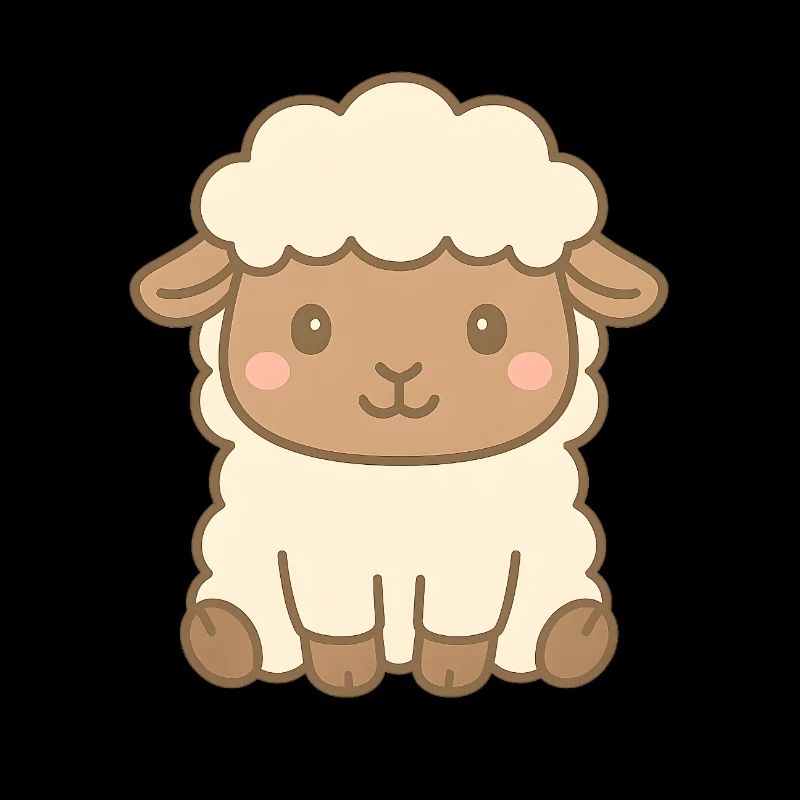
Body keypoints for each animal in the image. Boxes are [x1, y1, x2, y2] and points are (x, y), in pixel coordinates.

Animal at [131, 74, 667, 697]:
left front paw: (452, 673)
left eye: (488, 326)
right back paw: (226, 635)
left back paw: (572, 637)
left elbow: (459, 627)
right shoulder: (324, 561)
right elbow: (339, 627)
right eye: (309, 326)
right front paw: (344, 674)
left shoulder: (472, 562)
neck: (399, 485)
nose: (398, 370)